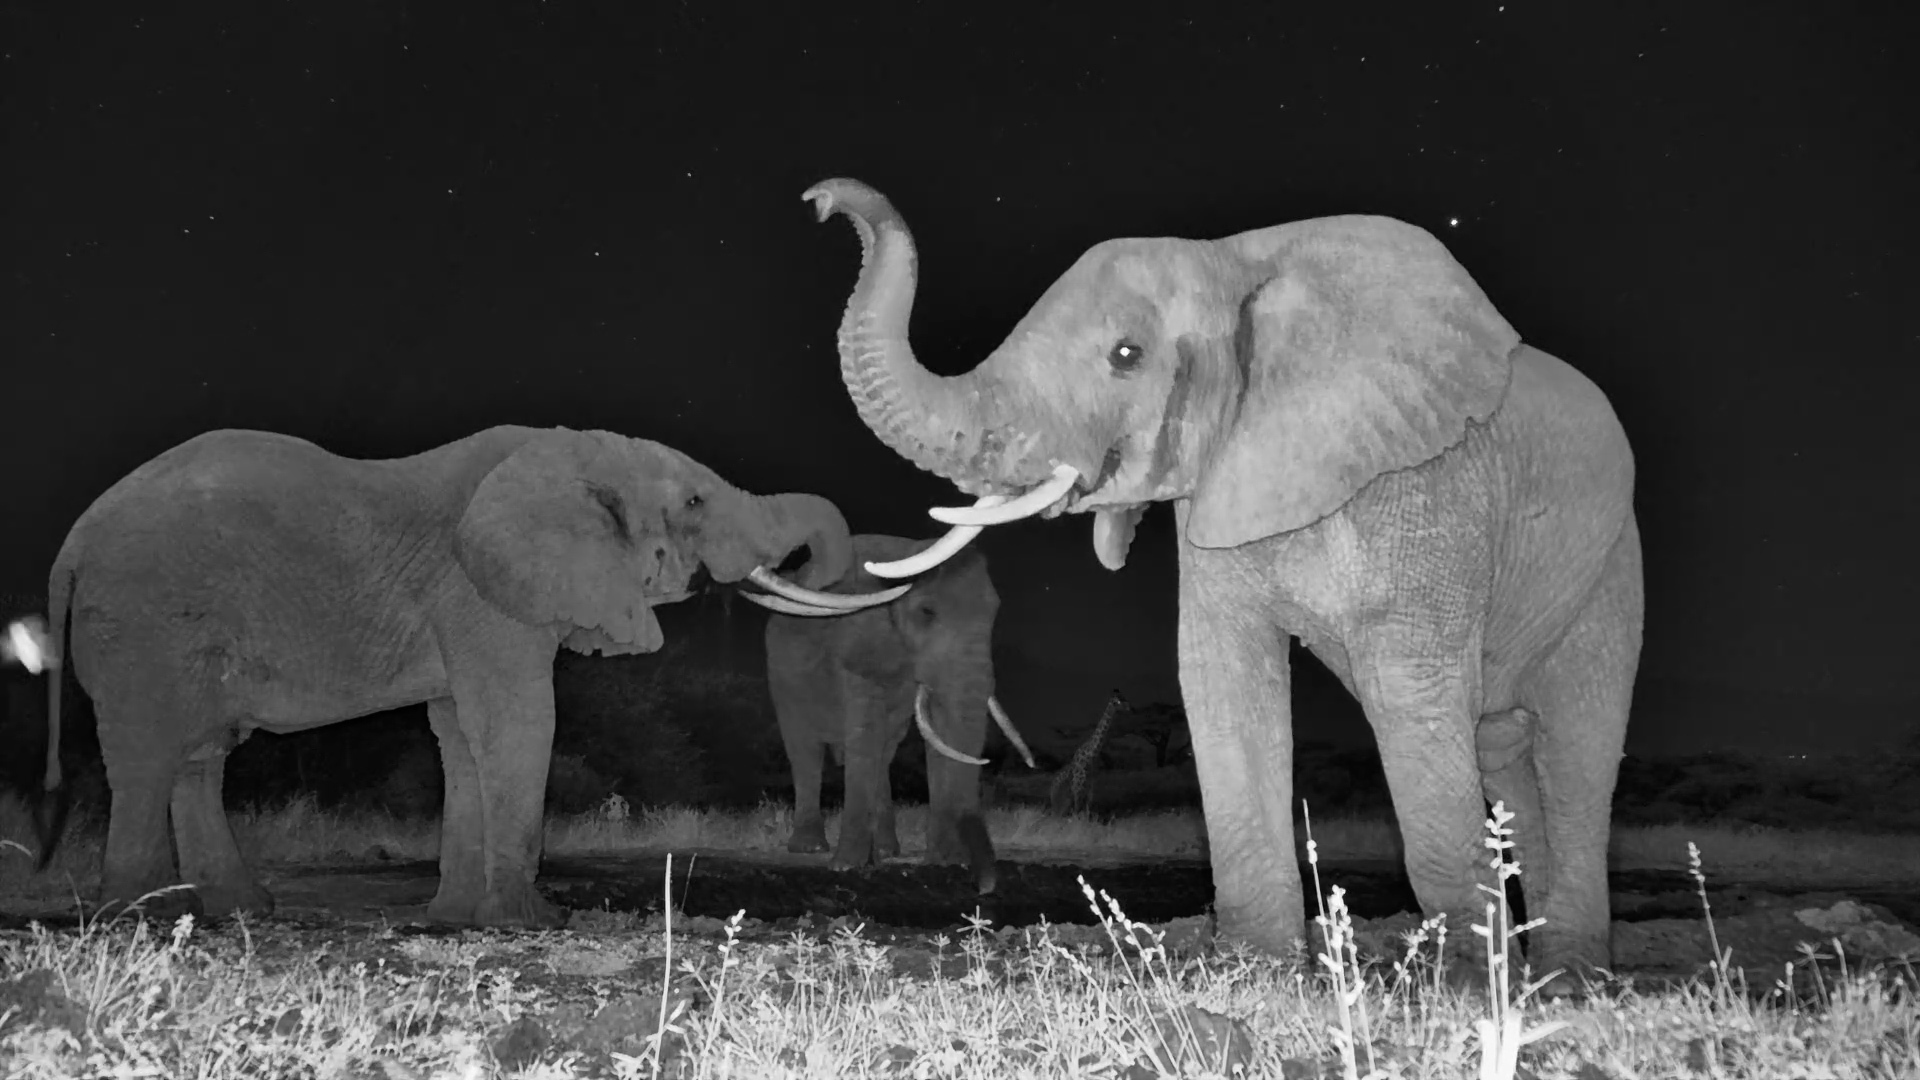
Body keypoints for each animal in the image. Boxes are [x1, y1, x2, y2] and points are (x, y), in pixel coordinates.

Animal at [36, 424, 903, 927]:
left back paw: (233, 910)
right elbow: (518, 720)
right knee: (149, 753)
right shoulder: (478, 591)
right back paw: (136, 918)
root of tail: (71, 542)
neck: (572, 452)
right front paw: (532, 922)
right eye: (694, 500)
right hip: (144, 617)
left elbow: (460, 735)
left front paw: (458, 919)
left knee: (199, 754)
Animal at [749, 534, 1035, 892]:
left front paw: (944, 861)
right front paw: (846, 866)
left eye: (994, 613)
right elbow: (865, 733)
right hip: (782, 677)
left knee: (884, 752)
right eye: (926, 612)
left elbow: (934, 733)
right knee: (805, 750)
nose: (983, 887)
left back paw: (886, 851)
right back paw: (810, 847)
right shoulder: (857, 643)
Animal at [801, 178, 1644, 985]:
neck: (1232, 261)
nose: (821, 201)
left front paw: (1465, 989)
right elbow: (1221, 678)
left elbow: (1410, 692)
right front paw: (1256, 970)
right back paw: (1547, 968)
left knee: (1574, 747)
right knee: (1507, 752)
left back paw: (1568, 977)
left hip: (1610, 567)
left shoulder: (1426, 485)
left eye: (1126, 355)